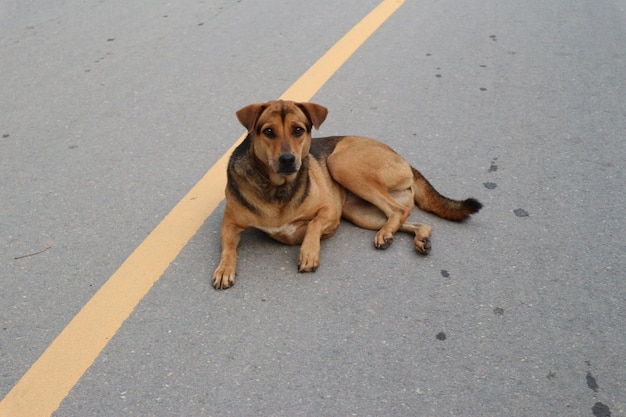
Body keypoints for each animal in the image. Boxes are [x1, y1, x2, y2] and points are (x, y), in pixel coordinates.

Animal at [212, 99, 480, 288]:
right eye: (268, 132)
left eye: (298, 130)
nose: (288, 160)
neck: (277, 187)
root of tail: (404, 160)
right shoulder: (230, 225)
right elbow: (228, 249)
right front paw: (224, 269)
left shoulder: (330, 212)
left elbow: (313, 225)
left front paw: (309, 253)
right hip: (360, 212)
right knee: (408, 216)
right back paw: (419, 236)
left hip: (341, 164)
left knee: (397, 209)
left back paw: (387, 235)